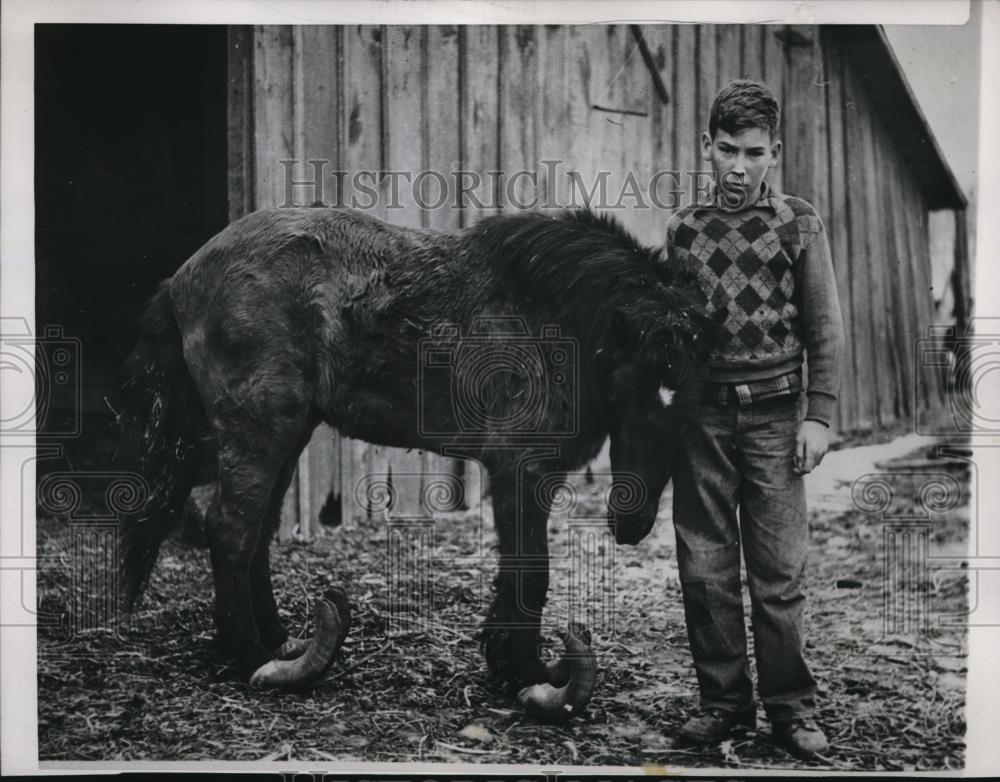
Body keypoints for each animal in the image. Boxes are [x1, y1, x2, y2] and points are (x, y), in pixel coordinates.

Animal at [115, 207, 712, 724]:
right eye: (632, 391)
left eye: (689, 411)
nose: (632, 524)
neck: (549, 312)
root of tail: (183, 277)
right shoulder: (520, 469)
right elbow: (531, 571)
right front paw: (530, 677)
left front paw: (508, 667)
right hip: (260, 432)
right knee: (230, 531)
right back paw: (256, 660)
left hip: (288, 433)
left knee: (255, 534)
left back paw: (281, 642)